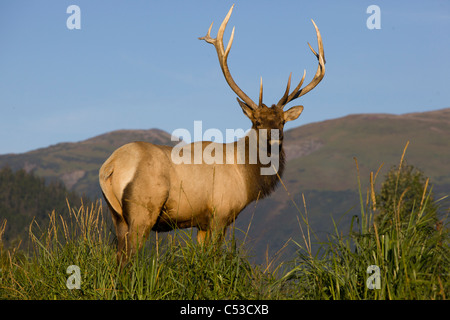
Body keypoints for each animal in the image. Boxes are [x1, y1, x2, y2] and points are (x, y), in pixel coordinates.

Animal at [99, 5, 324, 264]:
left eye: (282, 122)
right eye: (257, 122)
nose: (274, 139)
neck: (246, 176)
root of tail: (110, 166)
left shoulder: (202, 223)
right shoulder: (220, 213)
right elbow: (214, 259)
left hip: (116, 215)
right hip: (143, 209)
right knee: (129, 257)